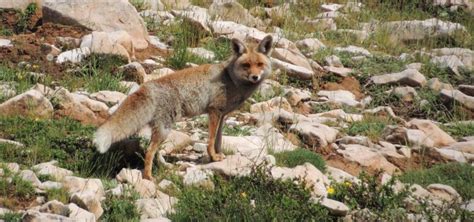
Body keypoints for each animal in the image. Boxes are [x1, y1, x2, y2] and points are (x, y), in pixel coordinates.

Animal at [92, 35, 274, 180]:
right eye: (246, 65)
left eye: (259, 64)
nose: (255, 77)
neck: (231, 79)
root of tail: (148, 86)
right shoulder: (214, 111)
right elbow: (210, 141)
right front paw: (213, 157)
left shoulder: (222, 116)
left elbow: (218, 140)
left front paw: (218, 156)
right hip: (165, 129)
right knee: (150, 151)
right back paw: (148, 177)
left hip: (162, 131)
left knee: (154, 152)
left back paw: (164, 167)